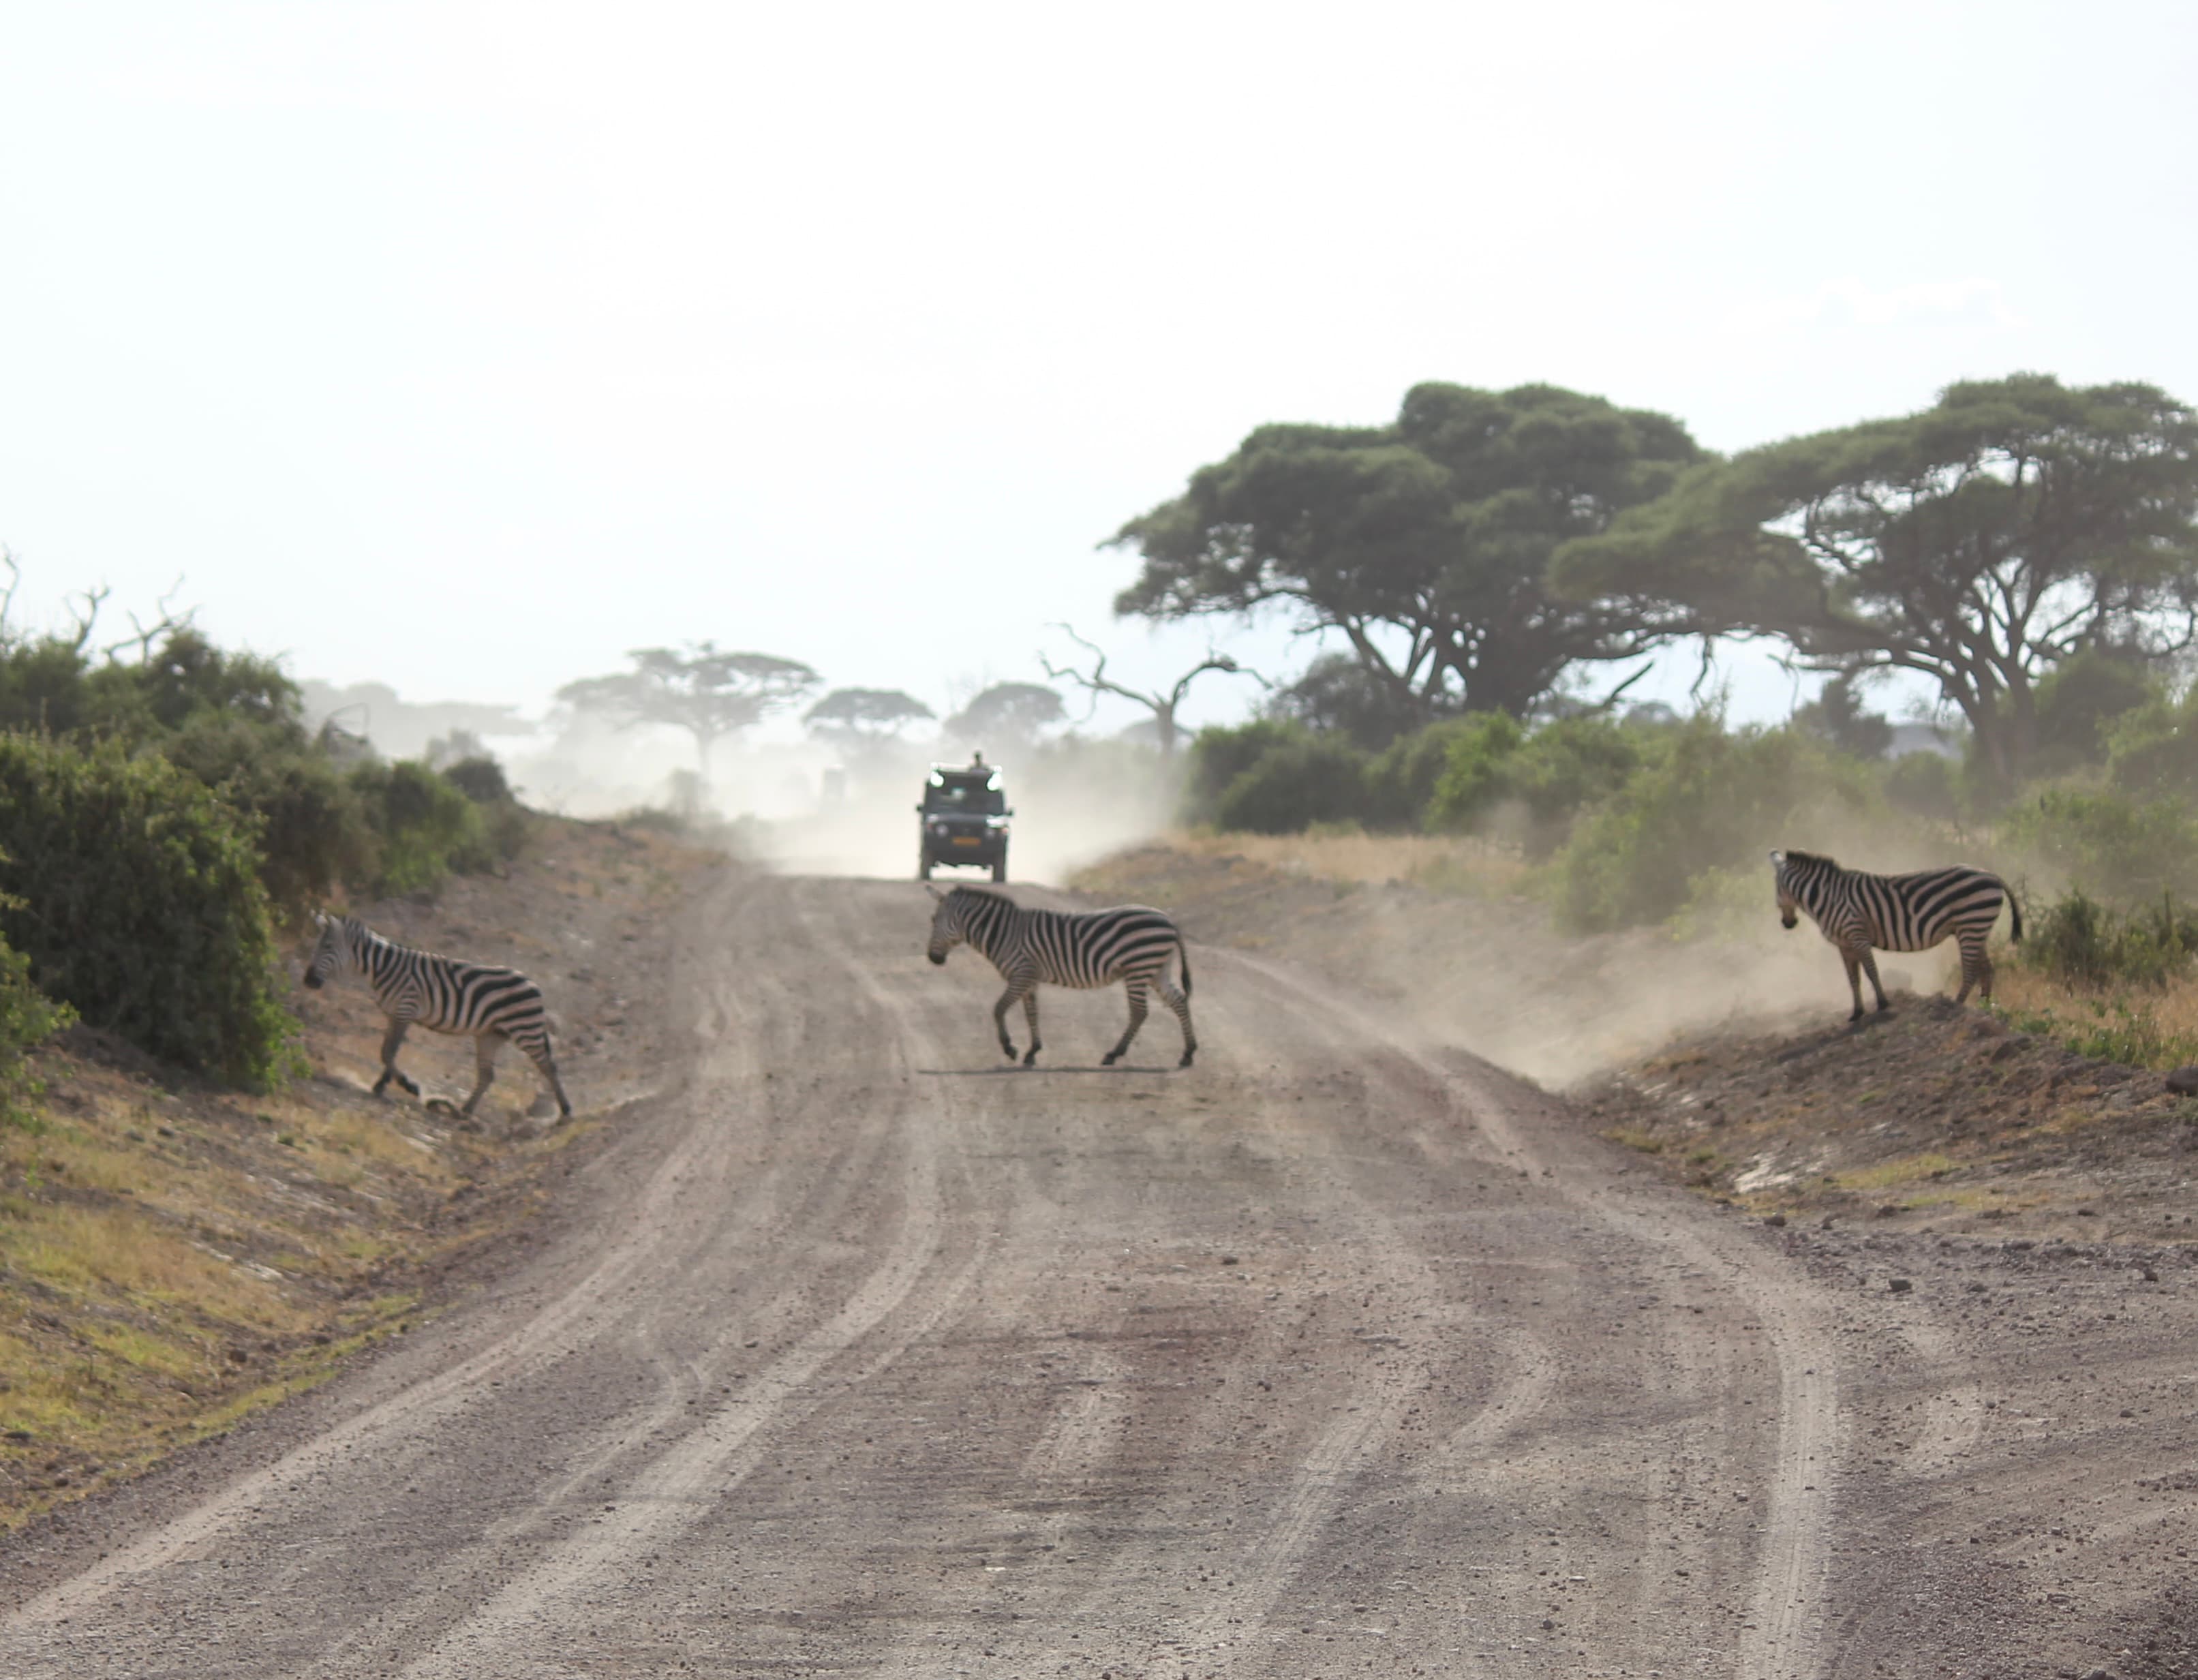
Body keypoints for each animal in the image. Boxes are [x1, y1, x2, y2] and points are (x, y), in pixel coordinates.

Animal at [303, 913, 573, 1119]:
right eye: (316, 945)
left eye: (327, 947)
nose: (308, 981)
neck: (383, 968)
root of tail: (533, 984)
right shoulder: (394, 1014)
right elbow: (387, 1051)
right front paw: (383, 1084)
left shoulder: (405, 1009)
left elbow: (388, 1052)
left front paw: (408, 1086)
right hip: (490, 1035)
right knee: (488, 1075)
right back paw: (464, 1111)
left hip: (526, 1030)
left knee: (549, 1066)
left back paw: (566, 1110)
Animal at [925, 885, 1197, 1068]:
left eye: (934, 920)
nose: (933, 959)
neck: (1004, 933)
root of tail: (1168, 919)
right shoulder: (1029, 978)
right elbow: (1031, 1014)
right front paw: (1032, 1052)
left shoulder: (1022, 973)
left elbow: (999, 1009)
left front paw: (1010, 1048)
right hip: (1157, 969)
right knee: (1178, 1000)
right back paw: (1188, 1053)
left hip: (1138, 968)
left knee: (1140, 1012)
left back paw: (1113, 1054)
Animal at [1770, 849, 2022, 1021]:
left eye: (1776, 889)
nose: (1787, 924)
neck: (1829, 898)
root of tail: (1991, 875)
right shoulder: (1845, 945)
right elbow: (1854, 979)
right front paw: (1857, 1013)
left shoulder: (1857, 935)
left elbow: (1871, 972)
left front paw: (1883, 1004)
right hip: (1976, 928)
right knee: (1987, 968)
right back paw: (1985, 1007)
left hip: (1971, 925)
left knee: (1970, 970)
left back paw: (1956, 1005)